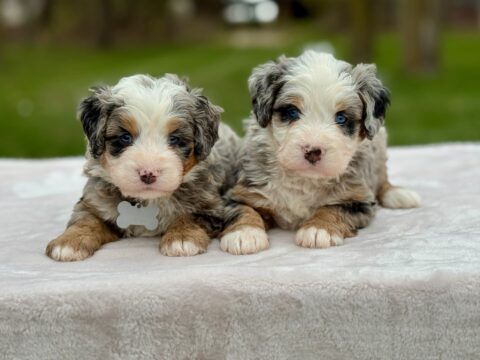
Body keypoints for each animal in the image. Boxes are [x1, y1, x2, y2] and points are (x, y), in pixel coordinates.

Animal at [45, 74, 240, 260]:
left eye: (174, 139)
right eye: (125, 137)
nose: (148, 173)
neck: (147, 202)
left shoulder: (209, 206)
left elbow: (190, 217)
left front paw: (181, 239)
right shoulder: (94, 202)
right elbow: (86, 220)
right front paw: (68, 242)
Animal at [221, 50, 420, 255]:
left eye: (341, 118)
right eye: (292, 112)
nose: (313, 151)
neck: (305, 179)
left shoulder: (357, 200)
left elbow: (332, 209)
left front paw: (317, 230)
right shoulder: (244, 190)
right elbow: (243, 209)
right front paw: (245, 234)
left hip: (379, 146)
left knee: (382, 177)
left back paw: (398, 194)